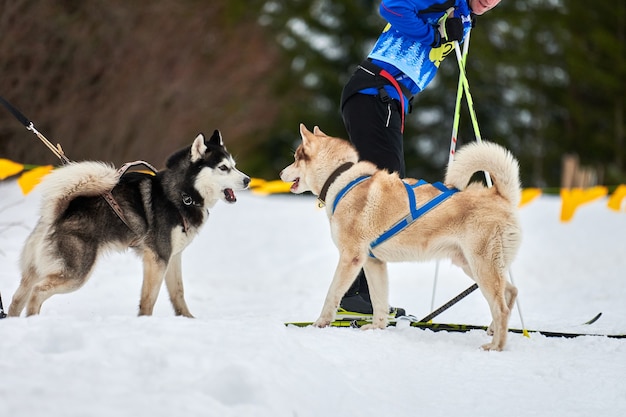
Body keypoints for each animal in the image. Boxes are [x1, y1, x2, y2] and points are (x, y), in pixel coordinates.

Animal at [9, 129, 249, 316]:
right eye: (223, 168)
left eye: (235, 165)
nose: (248, 180)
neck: (182, 194)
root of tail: (57, 213)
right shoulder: (157, 258)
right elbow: (149, 299)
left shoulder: (172, 257)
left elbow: (178, 293)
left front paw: (188, 320)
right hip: (76, 273)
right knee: (37, 292)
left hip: (35, 271)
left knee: (17, 299)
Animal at [280, 124, 520, 352]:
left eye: (296, 158)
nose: (281, 173)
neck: (339, 178)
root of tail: (500, 196)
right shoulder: (373, 262)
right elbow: (379, 301)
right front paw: (376, 328)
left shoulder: (351, 258)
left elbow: (332, 294)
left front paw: (319, 324)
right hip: (471, 266)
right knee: (510, 293)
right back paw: (493, 330)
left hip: (481, 267)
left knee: (501, 307)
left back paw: (495, 347)